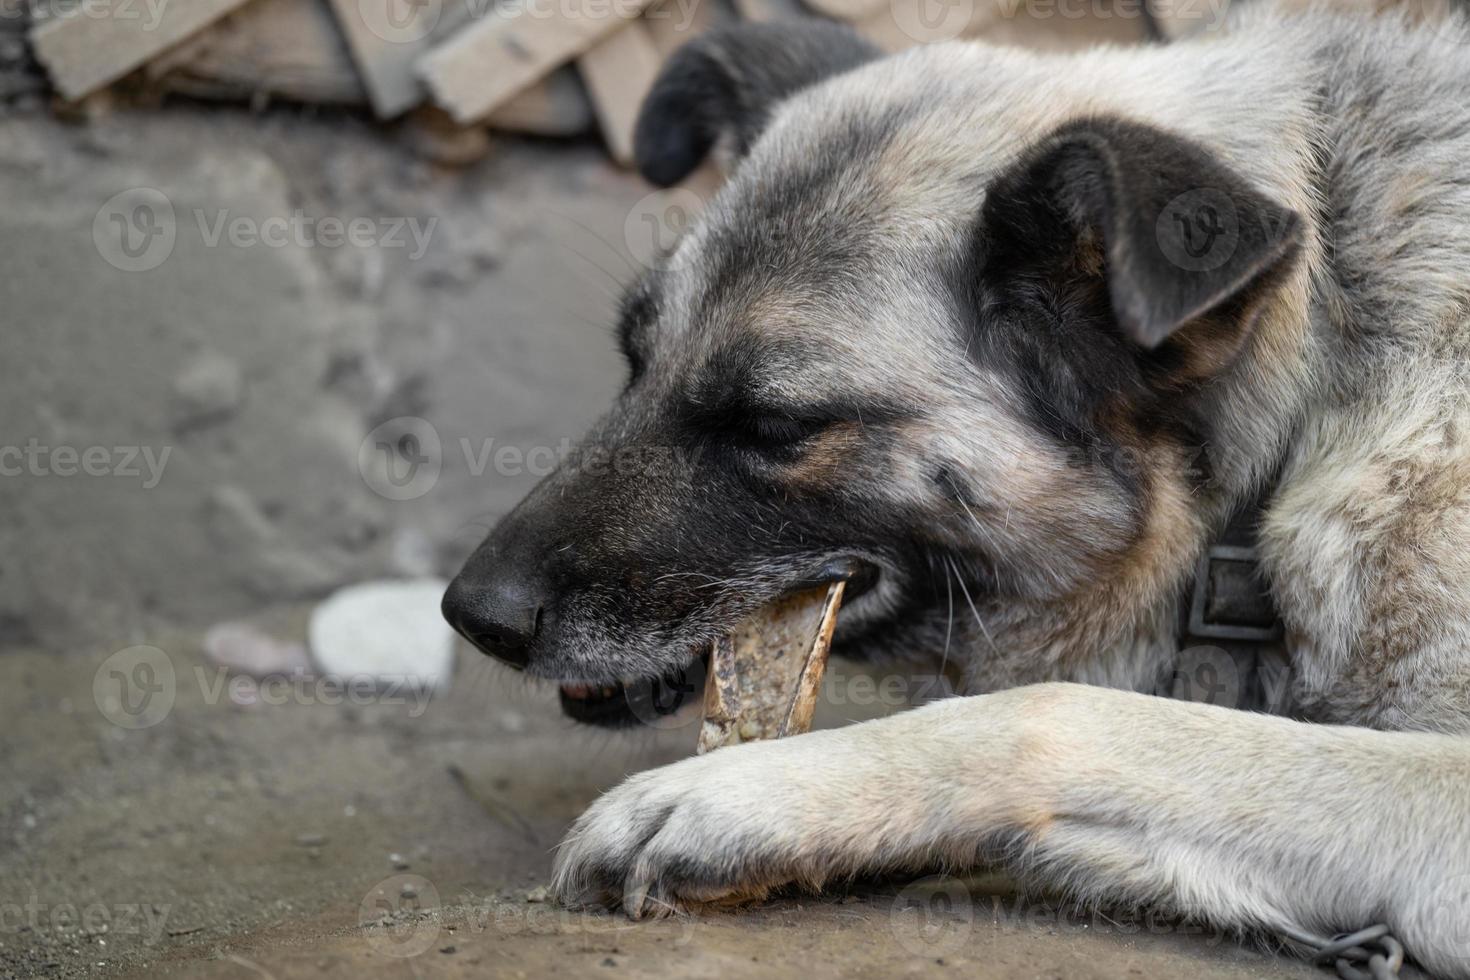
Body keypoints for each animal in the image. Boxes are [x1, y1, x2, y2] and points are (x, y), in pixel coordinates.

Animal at [441, 7, 1470, 975]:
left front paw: (747, 795)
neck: (1310, 386)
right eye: (633, 359)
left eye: (773, 427)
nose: (471, 616)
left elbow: (1049, 712)